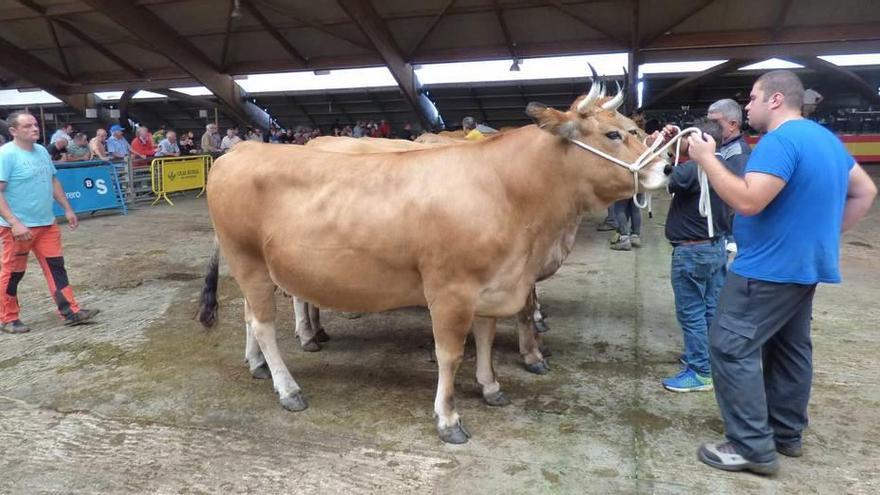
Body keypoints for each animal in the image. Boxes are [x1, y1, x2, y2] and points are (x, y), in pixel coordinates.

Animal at [199, 87, 668, 444]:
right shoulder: (450, 290)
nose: (664, 167)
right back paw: (288, 387)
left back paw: (258, 366)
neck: (507, 191)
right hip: (248, 260)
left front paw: (491, 385)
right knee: (263, 324)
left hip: (254, 266)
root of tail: (240, 151)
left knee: (248, 315)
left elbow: (485, 337)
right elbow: (450, 353)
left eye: (635, 129)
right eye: (614, 133)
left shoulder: (492, 282)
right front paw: (448, 417)